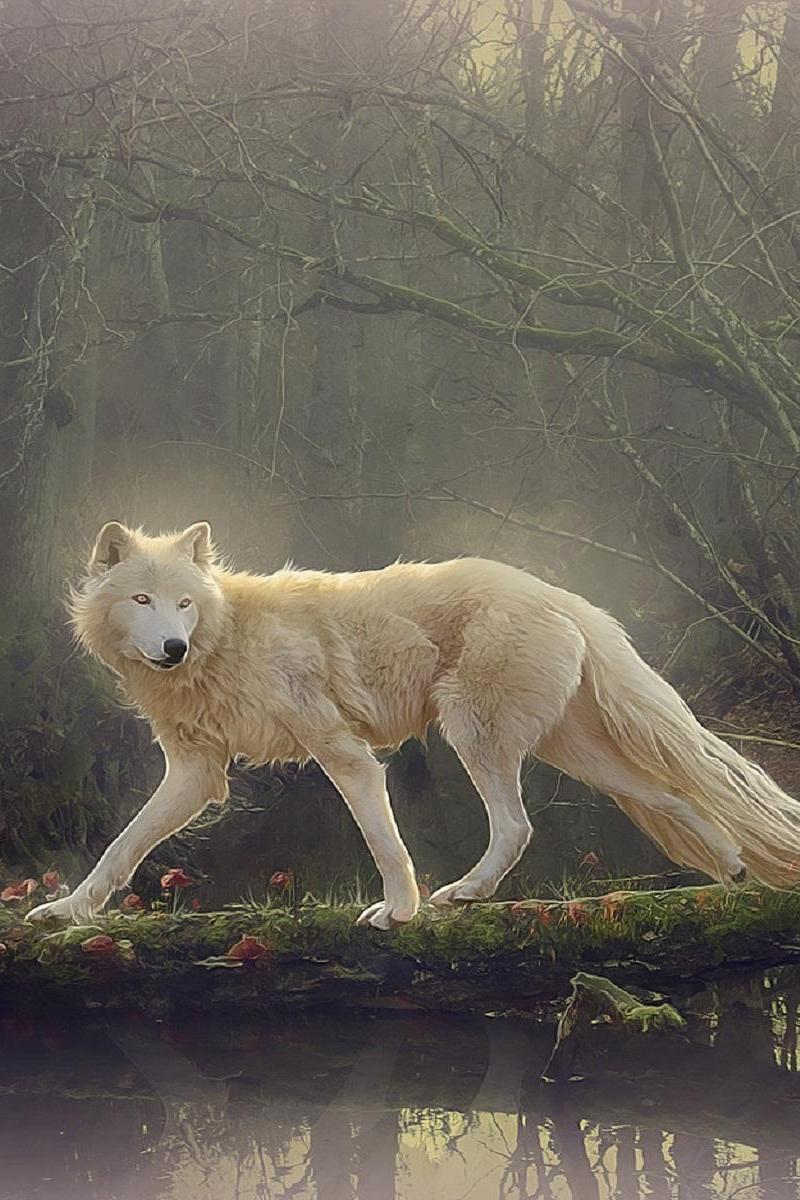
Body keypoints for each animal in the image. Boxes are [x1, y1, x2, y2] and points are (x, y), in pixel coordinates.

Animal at [27, 520, 800, 928]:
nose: (172, 647)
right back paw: (732, 871)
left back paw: (465, 893)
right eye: (142, 600)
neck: (227, 640)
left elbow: (384, 840)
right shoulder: (194, 774)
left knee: (517, 827)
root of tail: (562, 594)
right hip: (578, 755)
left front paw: (400, 912)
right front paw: (68, 910)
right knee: (672, 794)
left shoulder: (344, 753)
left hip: (474, 735)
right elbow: (124, 845)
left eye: (184, 604)